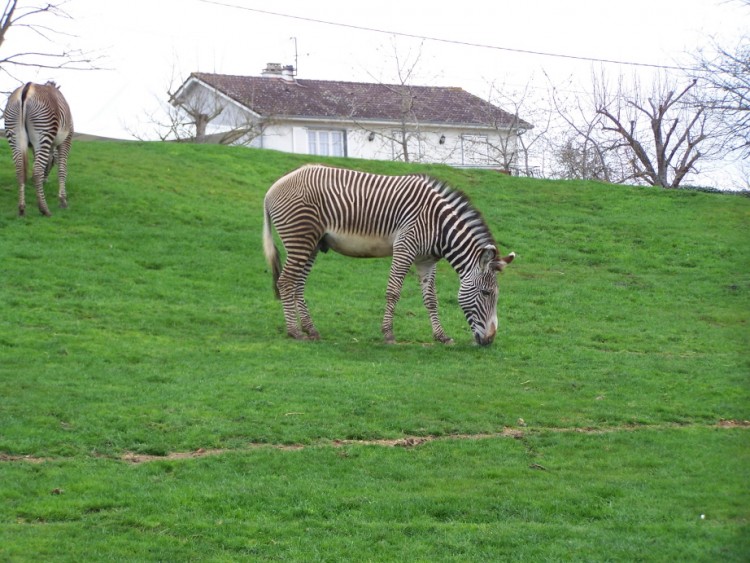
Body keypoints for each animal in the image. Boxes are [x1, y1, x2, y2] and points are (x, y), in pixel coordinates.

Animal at [4, 81, 74, 216]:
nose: (45, 182)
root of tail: (27, 87)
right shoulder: (66, 139)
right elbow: (62, 170)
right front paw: (63, 200)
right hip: (44, 130)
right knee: (37, 171)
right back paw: (44, 209)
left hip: (14, 133)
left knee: (20, 169)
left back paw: (22, 208)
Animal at [264, 163, 516, 346]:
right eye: (486, 293)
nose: (490, 340)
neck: (439, 226)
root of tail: (272, 188)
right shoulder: (405, 247)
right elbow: (393, 292)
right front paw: (387, 334)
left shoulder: (426, 260)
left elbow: (431, 299)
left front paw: (441, 336)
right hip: (300, 239)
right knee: (286, 282)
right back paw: (294, 331)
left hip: (313, 244)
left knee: (297, 284)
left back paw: (310, 329)